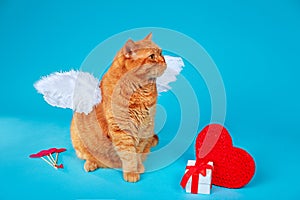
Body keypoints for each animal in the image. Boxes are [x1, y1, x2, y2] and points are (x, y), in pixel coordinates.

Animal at [71, 33, 168, 182]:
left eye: (161, 53)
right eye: (152, 56)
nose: (164, 61)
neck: (140, 91)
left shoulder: (145, 126)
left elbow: (137, 151)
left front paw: (137, 167)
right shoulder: (121, 129)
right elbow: (129, 153)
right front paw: (131, 172)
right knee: (87, 155)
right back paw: (91, 163)